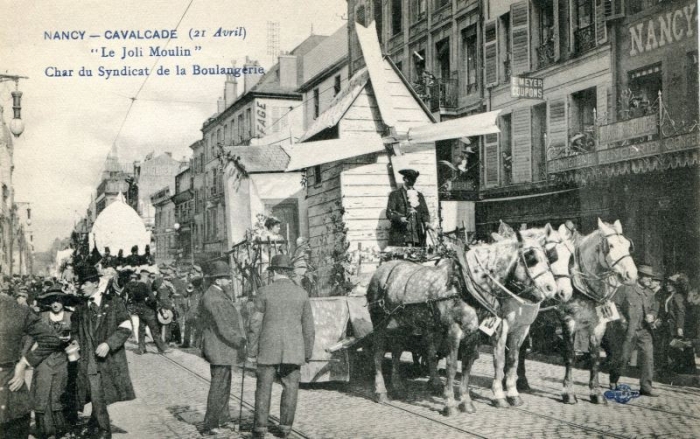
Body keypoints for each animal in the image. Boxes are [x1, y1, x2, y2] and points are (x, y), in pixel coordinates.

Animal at [516, 220, 640, 406]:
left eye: (627, 245)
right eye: (610, 245)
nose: (631, 275)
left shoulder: (599, 324)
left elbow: (594, 357)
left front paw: (596, 393)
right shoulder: (568, 320)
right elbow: (569, 355)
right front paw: (568, 393)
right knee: (521, 346)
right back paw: (520, 381)